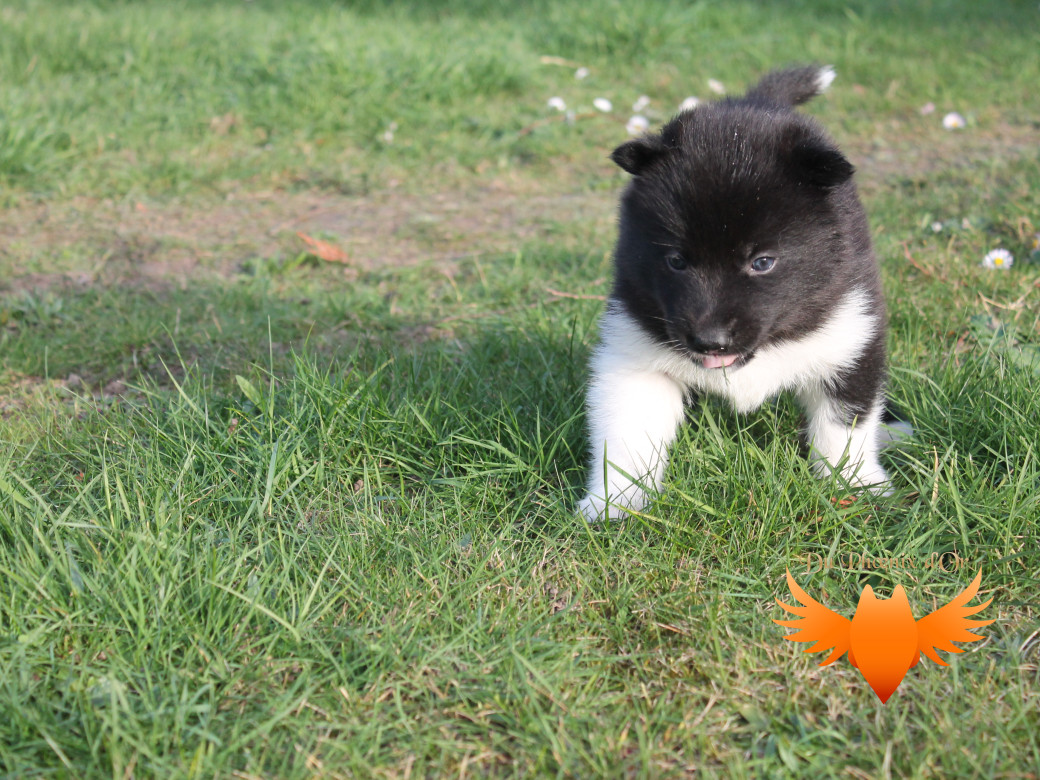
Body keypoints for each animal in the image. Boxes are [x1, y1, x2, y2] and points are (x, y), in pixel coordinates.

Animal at [582, 65, 906, 520]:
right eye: (676, 260)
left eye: (762, 262)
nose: (709, 340)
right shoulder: (635, 355)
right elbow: (627, 434)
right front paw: (615, 503)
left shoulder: (850, 334)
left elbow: (843, 424)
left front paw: (856, 485)